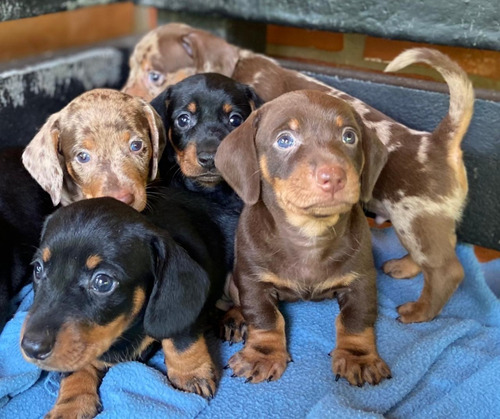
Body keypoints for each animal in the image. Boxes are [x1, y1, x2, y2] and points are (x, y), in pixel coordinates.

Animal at [20, 191, 228, 419]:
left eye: (103, 282)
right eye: (38, 269)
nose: (31, 348)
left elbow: (179, 333)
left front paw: (190, 373)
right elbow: (75, 362)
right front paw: (70, 404)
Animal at [121, 23, 472, 324]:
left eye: (154, 74)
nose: (128, 100)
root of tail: (439, 142)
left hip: (417, 221)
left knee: (447, 271)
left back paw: (419, 311)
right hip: (417, 226)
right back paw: (403, 267)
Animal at [213, 90, 392, 386]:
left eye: (349, 136)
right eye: (284, 140)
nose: (334, 177)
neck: (309, 233)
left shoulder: (361, 280)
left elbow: (356, 319)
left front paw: (358, 357)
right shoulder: (253, 280)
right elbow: (265, 317)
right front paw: (262, 354)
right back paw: (235, 318)